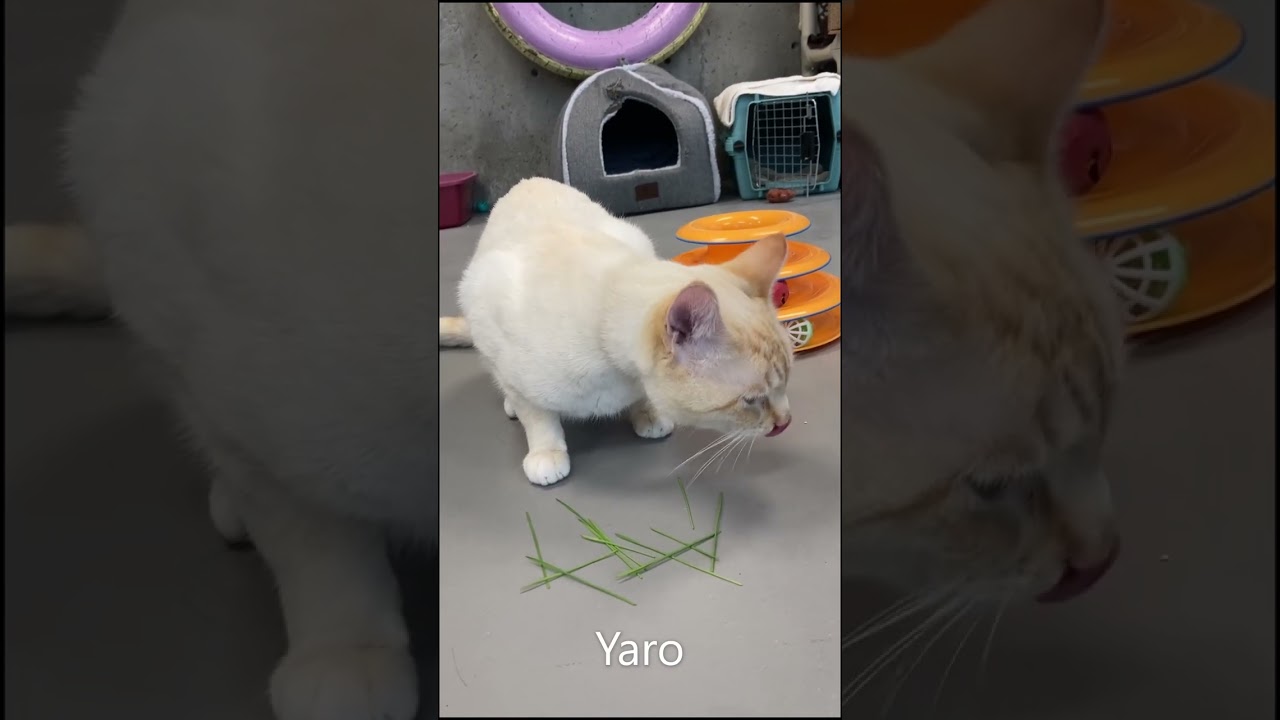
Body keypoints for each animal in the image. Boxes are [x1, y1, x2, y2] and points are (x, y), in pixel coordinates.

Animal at [445, 176, 793, 484]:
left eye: (786, 385)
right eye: (750, 400)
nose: (785, 423)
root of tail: (528, 180)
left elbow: (641, 398)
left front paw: (648, 413)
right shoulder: (505, 349)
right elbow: (537, 417)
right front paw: (546, 452)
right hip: (472, 294)